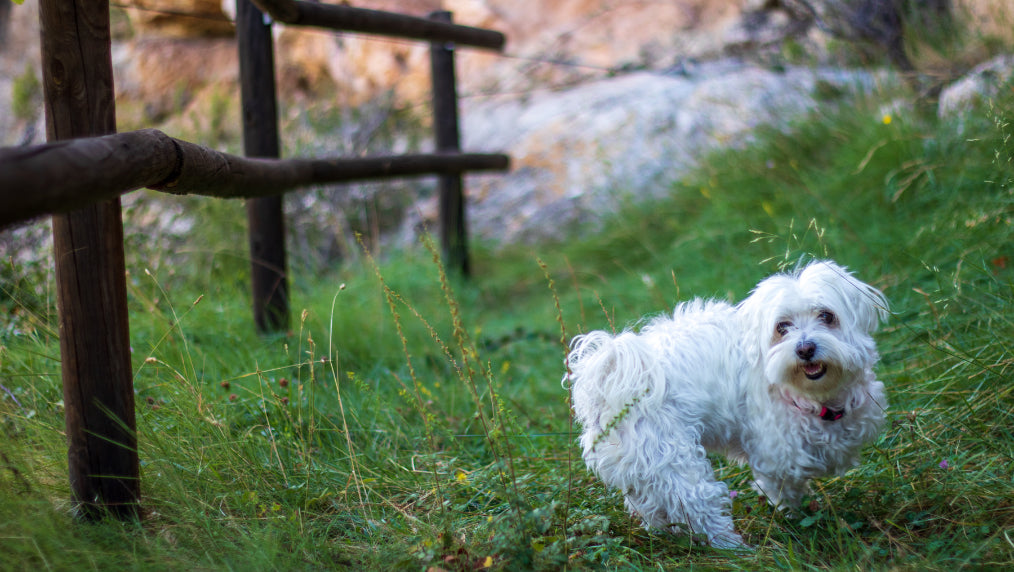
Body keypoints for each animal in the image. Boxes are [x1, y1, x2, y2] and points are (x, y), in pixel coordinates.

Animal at [567, 261, 892, 547]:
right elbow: (785, 488)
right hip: (672, 460)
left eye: (827, 316)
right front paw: (794, 516)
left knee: (652, 508)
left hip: (640, 470)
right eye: (782, 327)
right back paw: (734, 547)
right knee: (698, 505)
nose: (805, 349)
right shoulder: (776, 449)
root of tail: (610, 379)